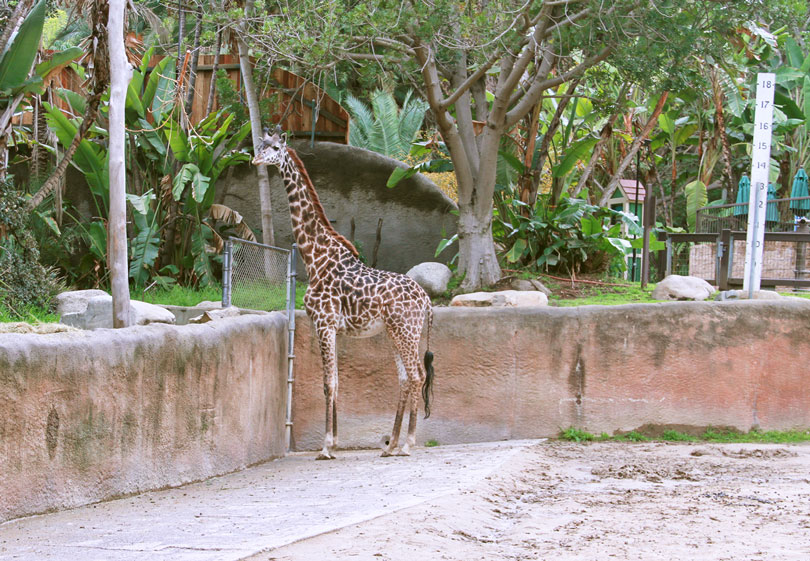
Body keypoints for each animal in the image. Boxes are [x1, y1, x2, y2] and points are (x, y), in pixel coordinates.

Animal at [254, 128, 436, 460]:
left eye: (274, 148)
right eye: (260, 145)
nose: (255, 159)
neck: (316, 257)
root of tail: (427, 301)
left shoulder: (323, 323)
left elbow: (327, 383)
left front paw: (326, 446)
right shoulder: (332, 328)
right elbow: (336, 381)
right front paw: (335, 442)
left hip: (405, 331)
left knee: (417, 375)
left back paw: (407, 444)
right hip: (397, 332)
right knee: (406, 377)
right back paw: (391, 445)